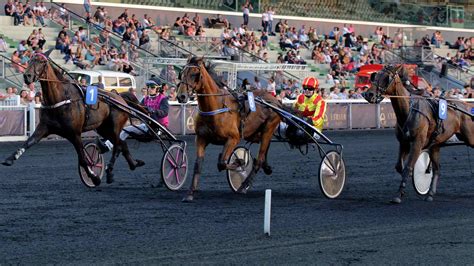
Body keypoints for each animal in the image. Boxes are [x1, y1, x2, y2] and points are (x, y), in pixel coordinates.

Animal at [1, 50, 144, 185]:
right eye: (30, 60)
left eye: (42, 61)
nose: (27, 76)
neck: (60, 99)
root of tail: (120, 97)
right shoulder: (44, 127)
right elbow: (28, 142)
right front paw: (9, 159)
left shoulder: (75, 133)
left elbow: (83, 158)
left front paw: (94, 177)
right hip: (103, 128)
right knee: (121, 143)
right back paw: (132, 164)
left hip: (114, 126)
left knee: (118, 145)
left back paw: (110, 171)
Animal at [177, 56, 282, 202]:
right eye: (181, 73)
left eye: (194, 74)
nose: (181, 96)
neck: (216, 107)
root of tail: (275, 100)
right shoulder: (201, 138)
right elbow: (198, 165)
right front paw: (190, 193)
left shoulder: (233, 138)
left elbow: (222, 162)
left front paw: (240, 162)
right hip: (256, 133)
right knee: (264, 152)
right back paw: (266, 168)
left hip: (268, 128)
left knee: (259, 160)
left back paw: (243, 186)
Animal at [364, 65, 472, 204]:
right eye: (374, 76)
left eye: (386, 78)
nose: (368, 94)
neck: (408, 109)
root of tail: (467, 107)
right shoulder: (404, 143)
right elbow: (400, 167)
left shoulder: (417, 142)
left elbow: (408, 167)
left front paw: (398, 195)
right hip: (436, 145)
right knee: (437, 169)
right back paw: (430, 194)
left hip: (470, 138)